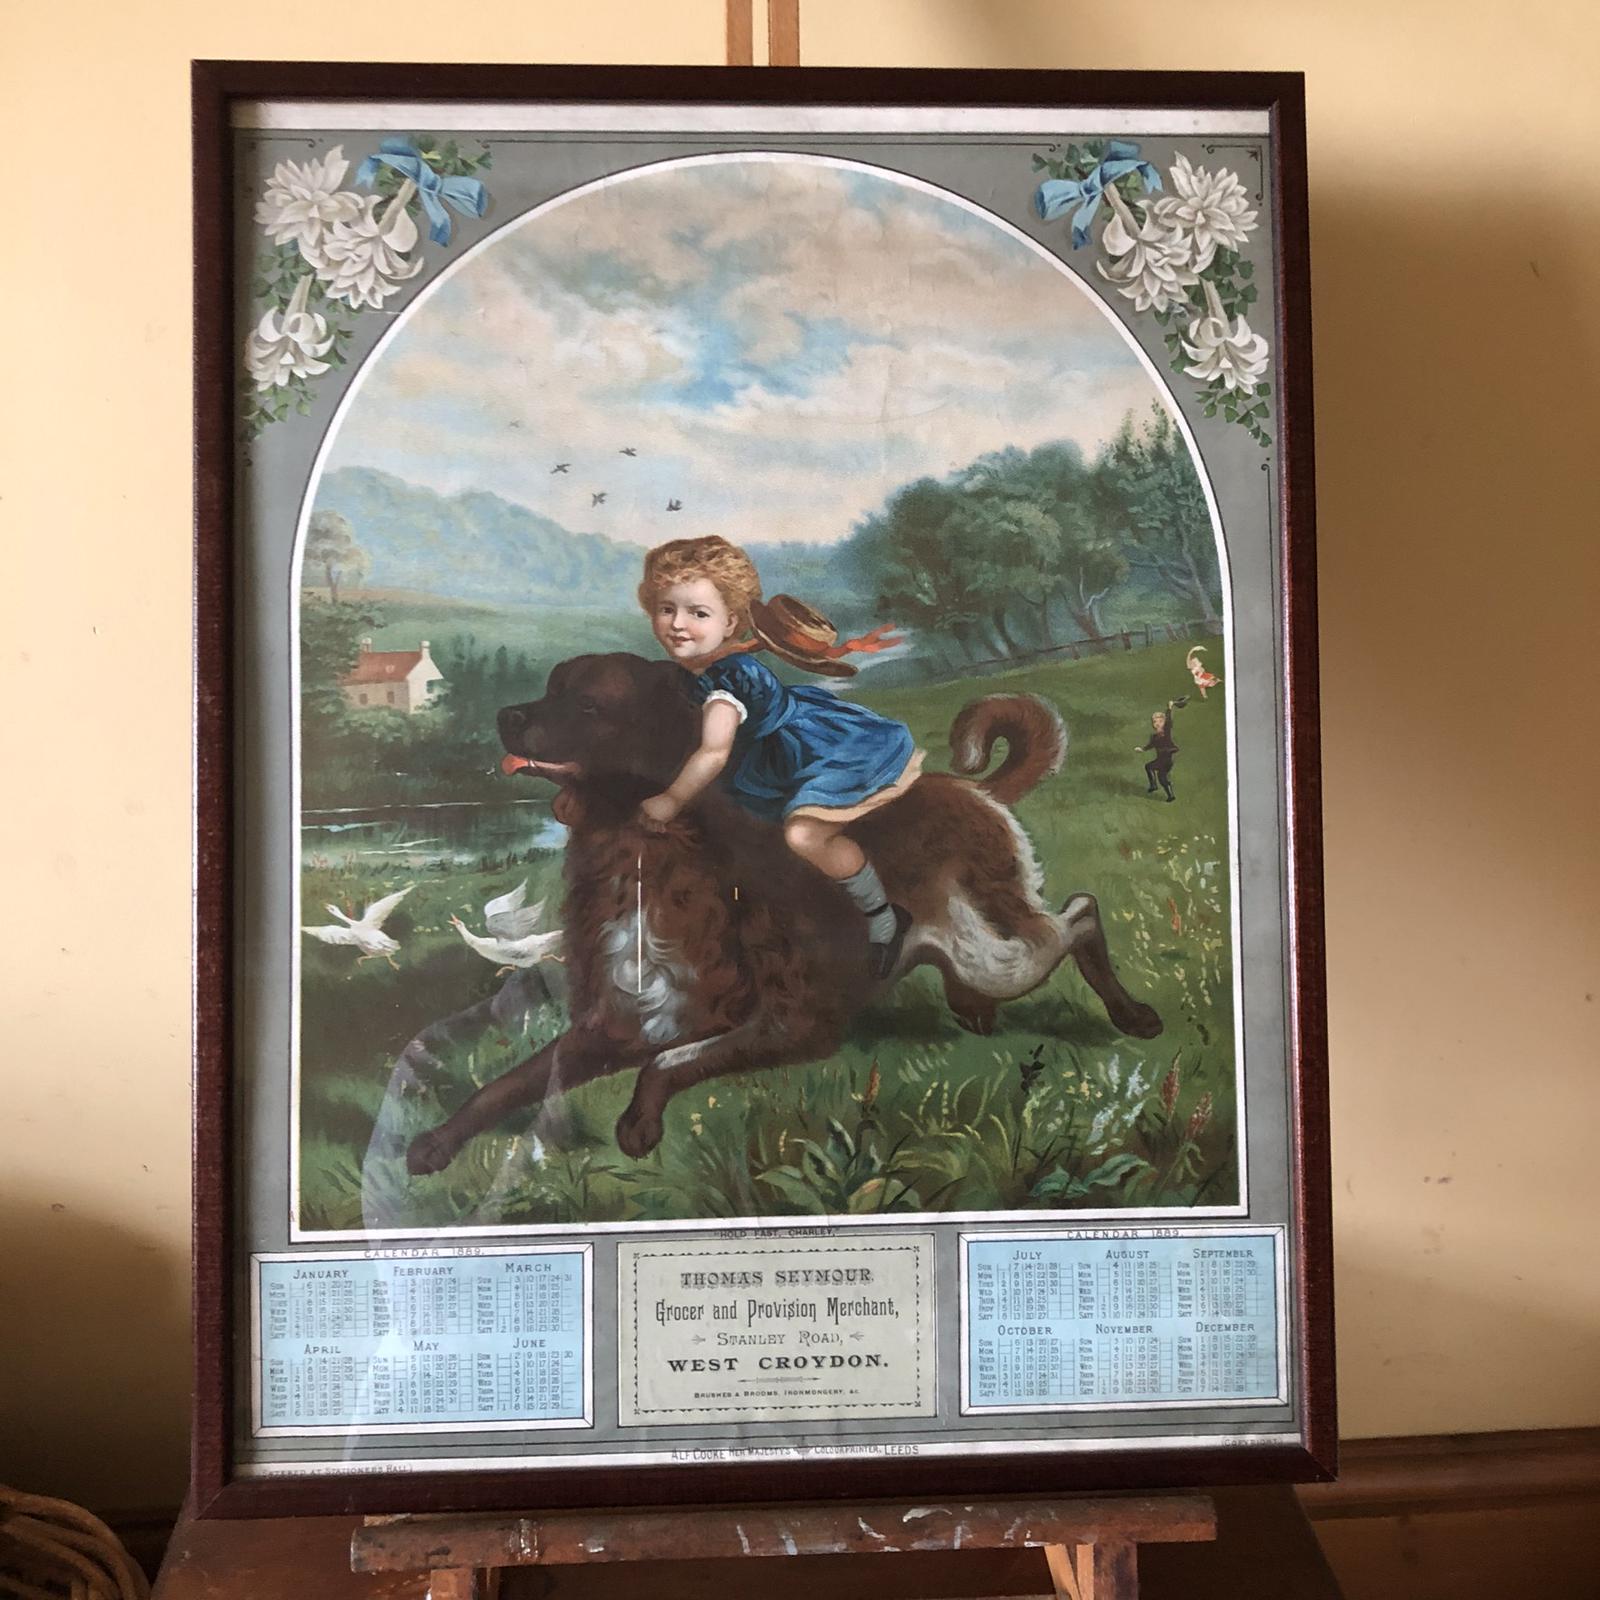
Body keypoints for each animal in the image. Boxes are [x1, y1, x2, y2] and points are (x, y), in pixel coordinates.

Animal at [405, 653, 1161, 1172]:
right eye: (550, 687)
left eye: (588, 705)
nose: (505, 717)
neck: (645, 852)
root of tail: (969, 789)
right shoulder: (613, 1024)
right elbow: (507, 1084)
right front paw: (436, 1143)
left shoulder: (790, 1024)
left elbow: (669, 1062)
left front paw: (638, 1125)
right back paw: (972, 1009)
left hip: (996, 947)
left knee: (1080, 915)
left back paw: (1132, 1014)